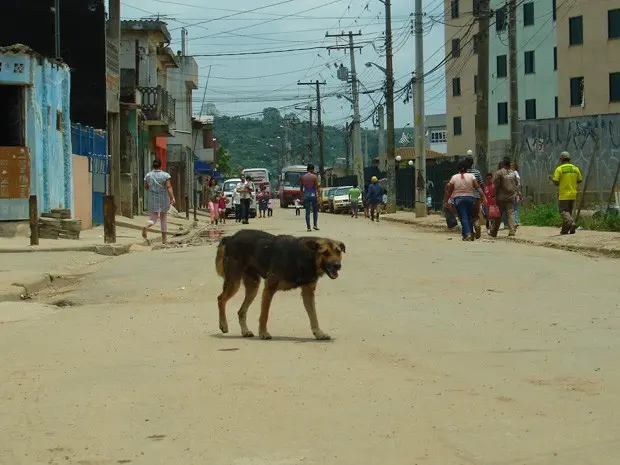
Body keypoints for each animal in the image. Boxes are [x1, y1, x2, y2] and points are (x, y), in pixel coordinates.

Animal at [216, 230, 344, 338]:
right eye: (325, 253)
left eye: (338, 251)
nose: (338, 266)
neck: (306, 256)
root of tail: (230, 237)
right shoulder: (269, 288)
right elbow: (264, 314)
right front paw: (263, 333)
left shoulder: (308, 293)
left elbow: (313, 315)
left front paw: (318, 333)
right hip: (234, 283)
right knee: (221, 299)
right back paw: (223, 325)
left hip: (253, 287)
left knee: (241, 311)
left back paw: (245, 331)